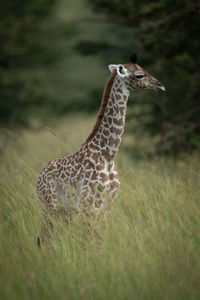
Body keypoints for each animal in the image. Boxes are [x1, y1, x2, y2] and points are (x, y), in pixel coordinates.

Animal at [36, 52, 165, 243]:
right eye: (139, 75)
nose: (160, 85)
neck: (108, 155)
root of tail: (38, 177)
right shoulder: (90, 205)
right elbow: (89, 242)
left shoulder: (108, 204)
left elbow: (99, 240)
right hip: (49, 206)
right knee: (45, 239)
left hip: (66, 211)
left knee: (54, 238)